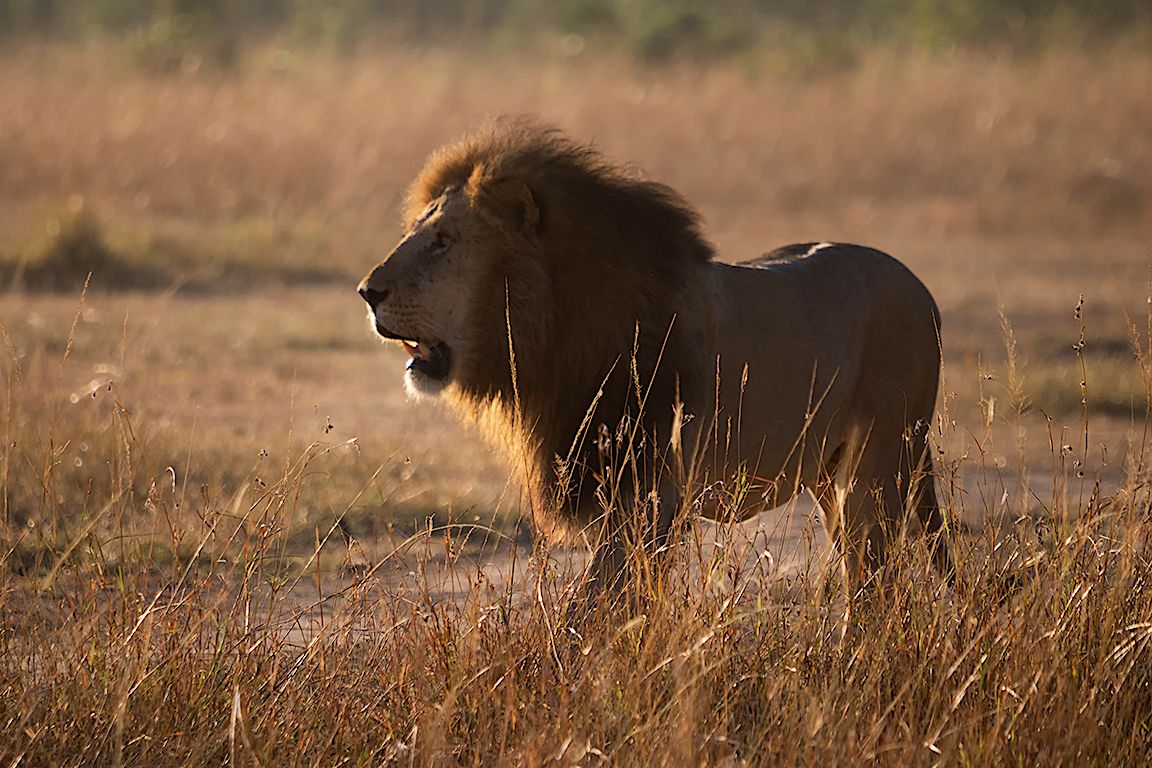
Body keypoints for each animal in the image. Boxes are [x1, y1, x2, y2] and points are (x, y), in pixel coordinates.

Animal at [358, 119, 953, 600]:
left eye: (442, 241)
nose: (367, 292)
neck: (556, 332)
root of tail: (921, 288)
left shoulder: (650, 497)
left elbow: (593, 605)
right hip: (831, 472)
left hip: (880, 465)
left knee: (875, 579)